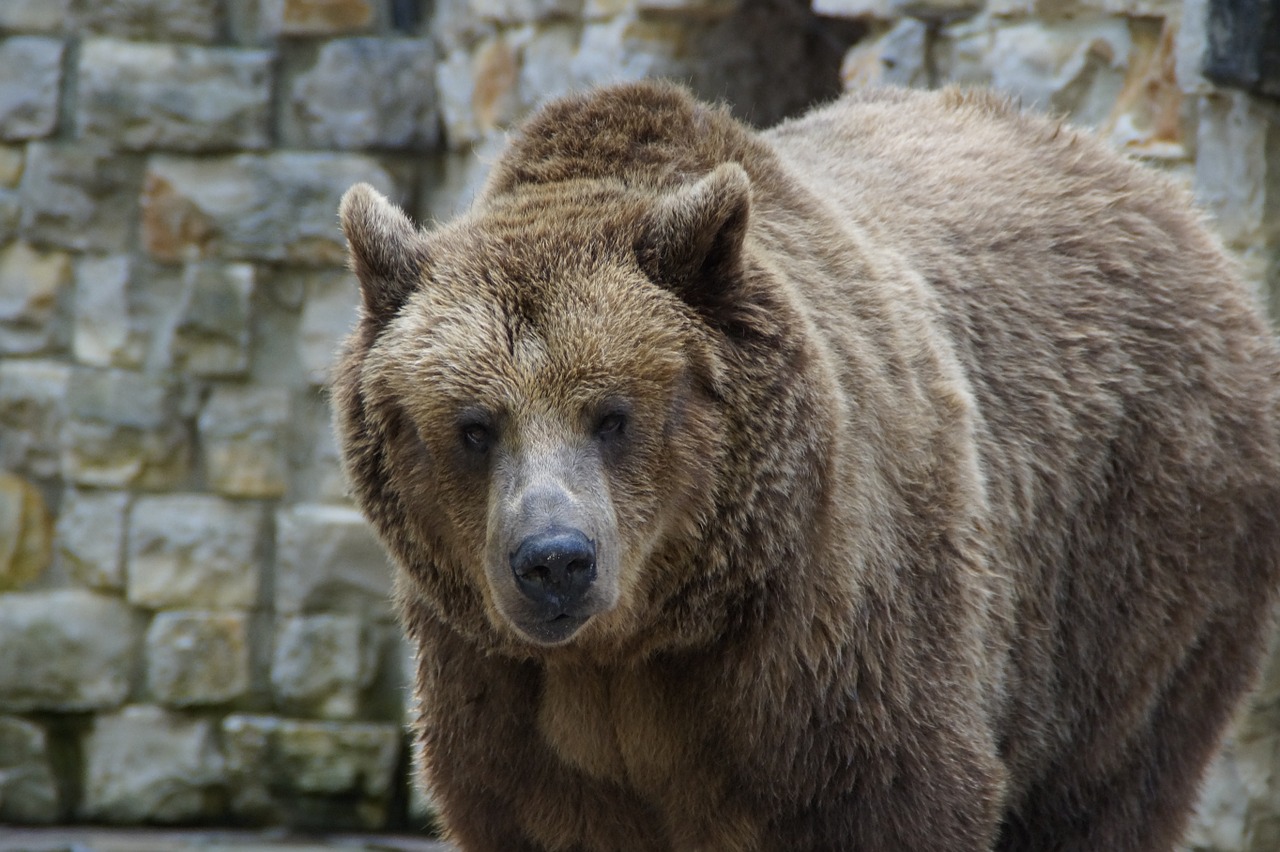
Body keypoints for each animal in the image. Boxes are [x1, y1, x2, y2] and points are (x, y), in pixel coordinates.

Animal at [327, 83, 1280, 849]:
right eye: (474, 427)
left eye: (613, 415)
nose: (555, 561)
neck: (644, 643)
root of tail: (1169, 204)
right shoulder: (508, 702)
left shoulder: (835, 661)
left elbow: (901, 795)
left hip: (1136, 561)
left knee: (1111, 778)